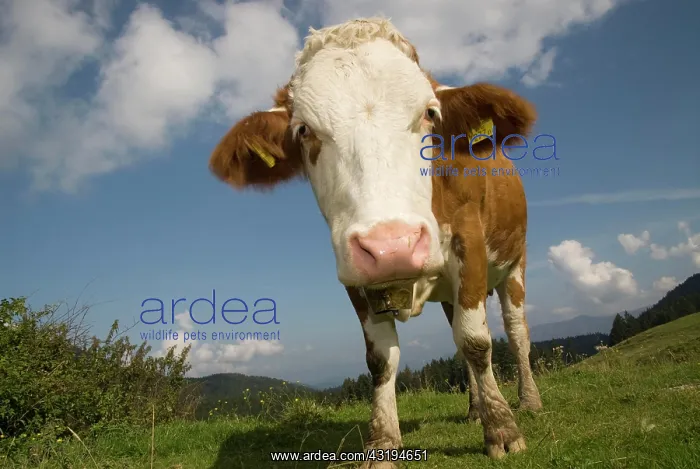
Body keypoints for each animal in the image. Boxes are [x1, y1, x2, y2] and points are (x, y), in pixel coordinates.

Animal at [208, 17, 543, 465]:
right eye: (303, 130)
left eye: (430, 113)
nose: (392, 246)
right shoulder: (353, 272)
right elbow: (383, 358)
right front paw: (383, 443)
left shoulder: (468, 241)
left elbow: (476, 341)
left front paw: (503, 430)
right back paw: (474, 410)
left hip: (514, 262)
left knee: (515, 330)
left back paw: (528, 400)